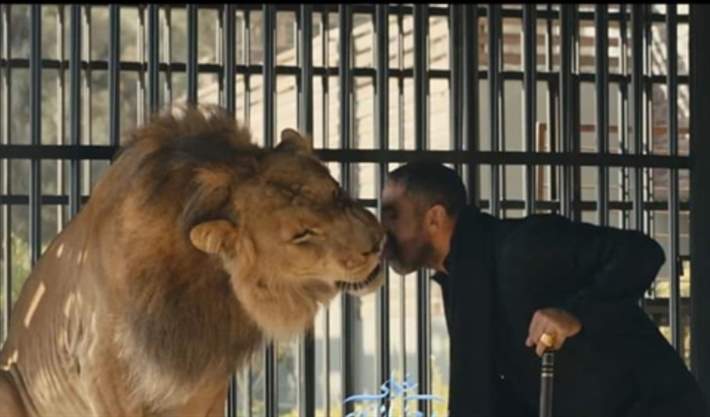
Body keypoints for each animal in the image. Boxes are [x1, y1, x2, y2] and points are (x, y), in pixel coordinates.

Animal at [0, 106, 385, 417]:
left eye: (337, 193)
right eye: (302, 235)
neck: (203, 281)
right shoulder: (101, 370)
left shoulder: (205, 380)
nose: (377, 243)